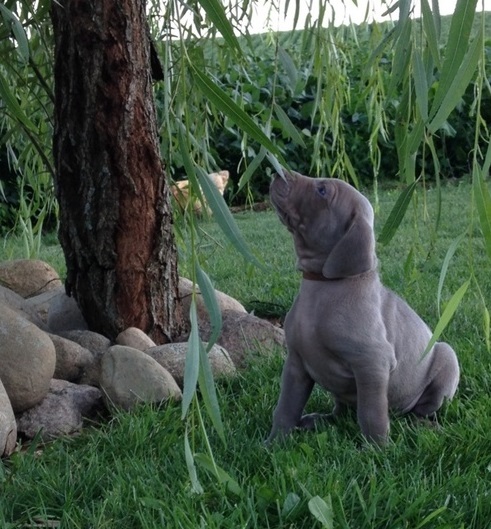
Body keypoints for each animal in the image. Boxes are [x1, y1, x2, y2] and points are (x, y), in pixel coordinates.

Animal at [268, 171, 460, 444]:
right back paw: (318, 420)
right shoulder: (295, 364)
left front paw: (377, 449)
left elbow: (371, 413)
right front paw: (273, 442)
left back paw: (421, 425)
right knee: (341, 412)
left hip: (447, 357)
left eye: (322, 191)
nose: (277, 172)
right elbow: (286, 407)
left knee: (422, 409)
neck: (323, 286)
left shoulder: (372, 363)